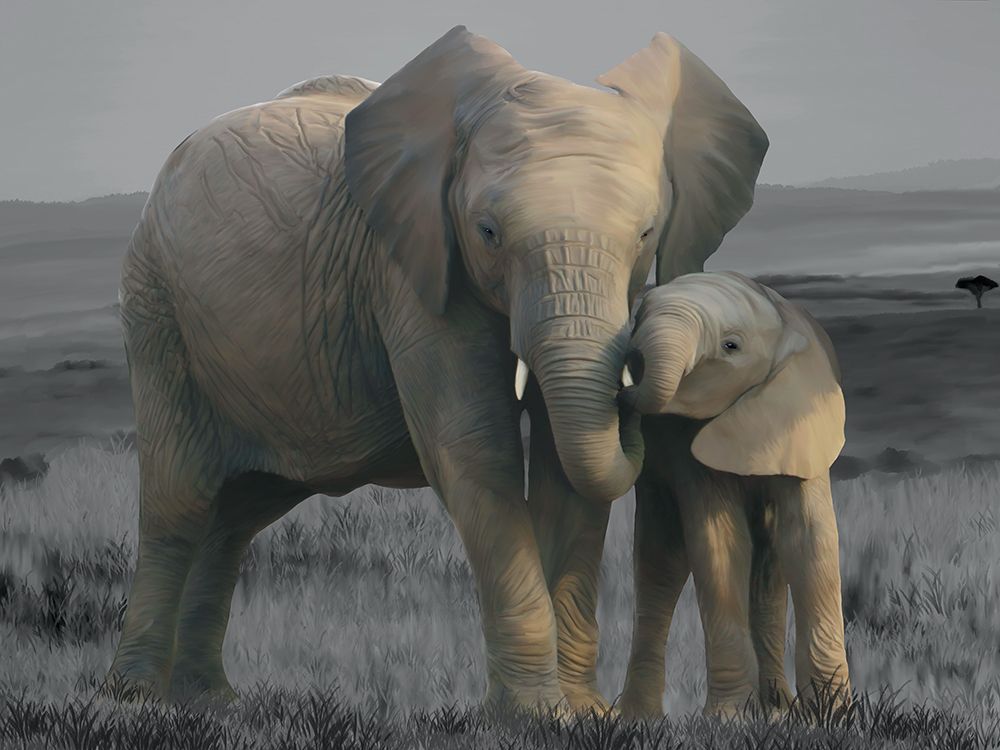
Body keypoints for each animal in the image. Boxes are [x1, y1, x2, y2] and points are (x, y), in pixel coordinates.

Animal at [107, 26, 768, 712]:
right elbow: (475, 448)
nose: (635, 393)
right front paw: (537, 716)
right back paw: (138, 697)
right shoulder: (410, 268)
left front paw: (585, 714)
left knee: (237, 516)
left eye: (646, 234)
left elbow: (566, 471)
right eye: (488, 233)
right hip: (157, 311)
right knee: (180, 503)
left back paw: (209, 699)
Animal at [616, 272, 851, 717]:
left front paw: (832, 715)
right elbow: (720, 542)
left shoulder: (802, 422)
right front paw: (731, 718)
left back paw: (777, 707)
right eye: (637, 318)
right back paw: (639, 719)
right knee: (660, 566)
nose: (625, 386)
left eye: (731, 346)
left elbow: (809, 540)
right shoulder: (684, 446)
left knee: (768, 568)